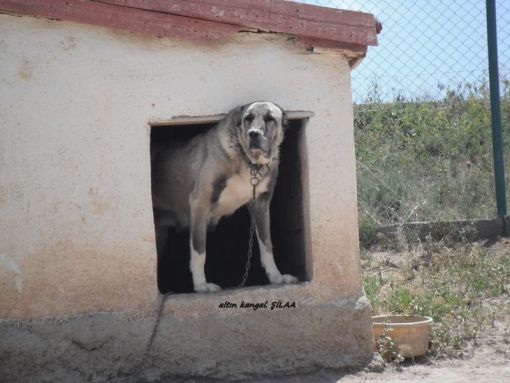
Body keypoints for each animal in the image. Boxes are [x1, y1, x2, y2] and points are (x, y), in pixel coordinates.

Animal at [151, 102, 296, 294]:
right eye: (248, 118)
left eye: (270, 119)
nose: (253, 134)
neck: (249, 162)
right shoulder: (199, 203)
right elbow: (199, 251)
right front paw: (201, 285)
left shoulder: (261, 205)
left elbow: (267, 245)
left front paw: (276, 277)